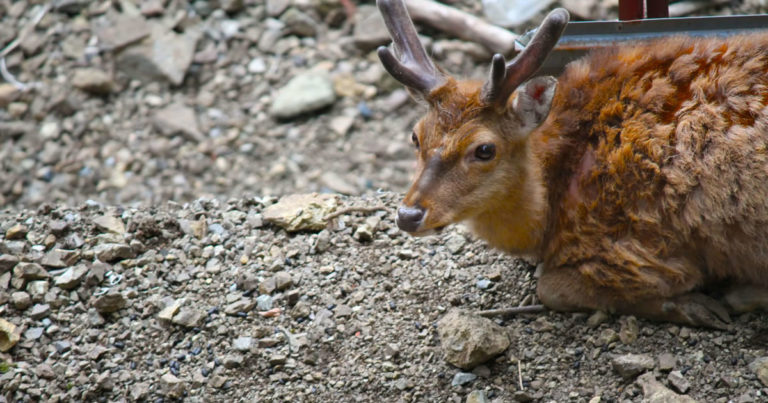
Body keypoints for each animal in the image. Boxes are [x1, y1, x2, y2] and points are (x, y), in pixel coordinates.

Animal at [376, 0, 768, 329]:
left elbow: (550, 288)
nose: (408, 214)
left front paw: (694, 305)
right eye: (415, 136)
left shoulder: (632, 248)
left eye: (484, 149)